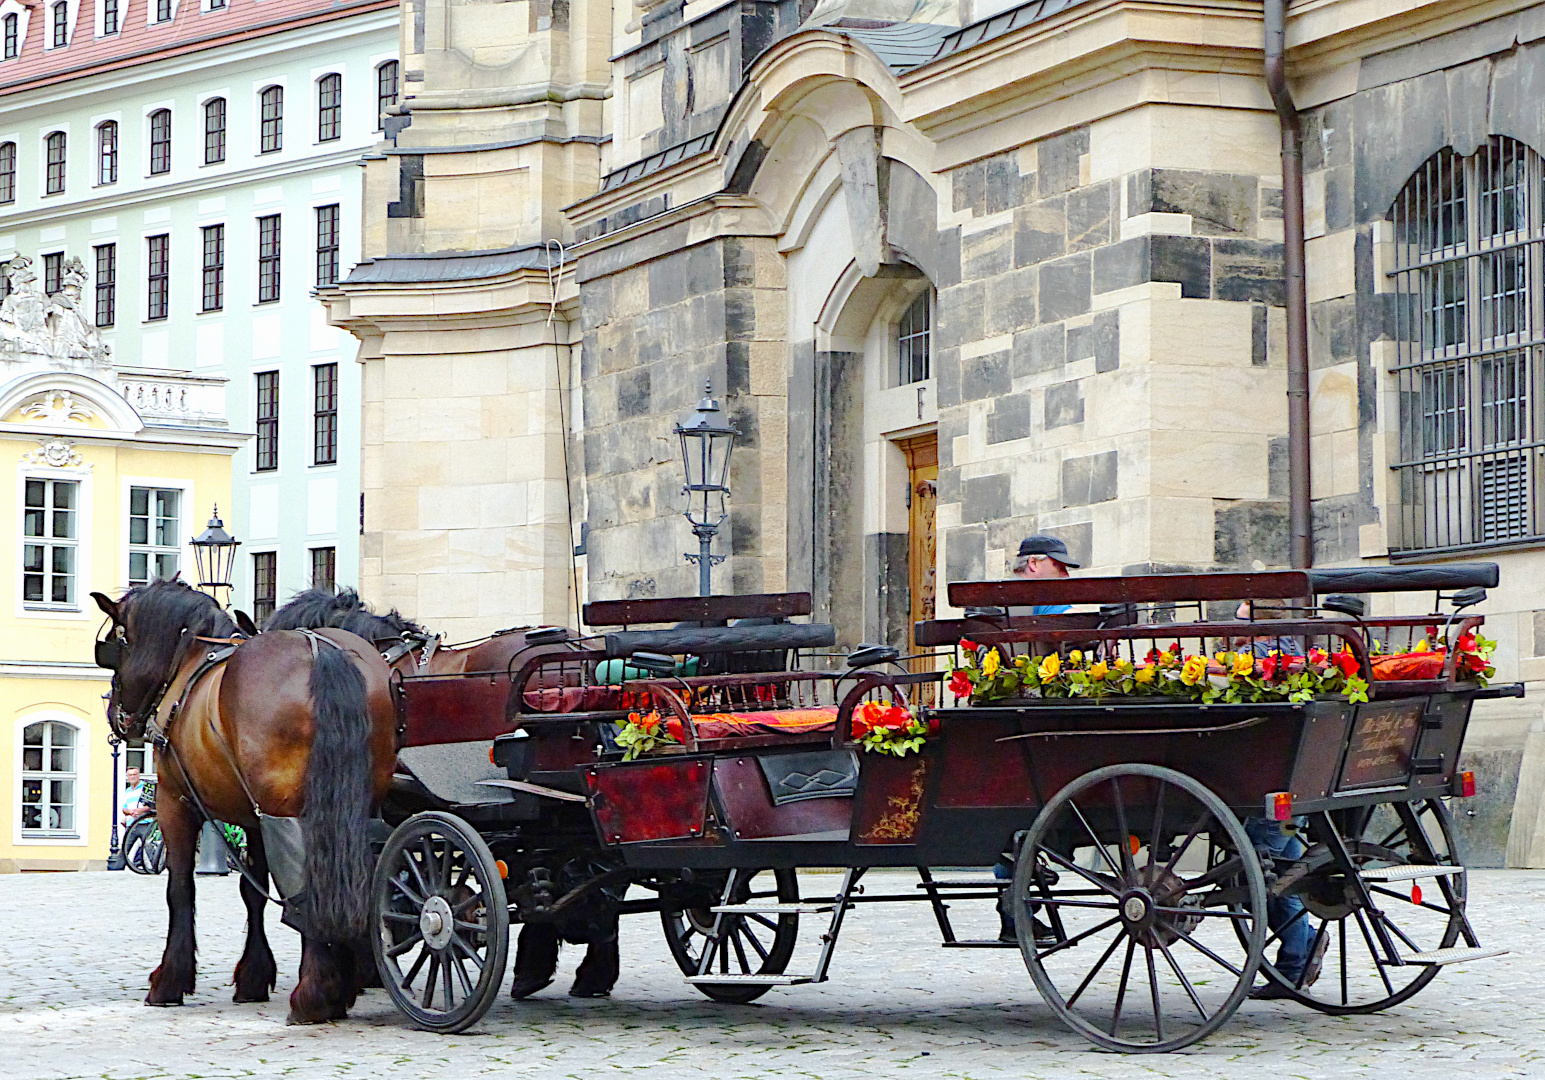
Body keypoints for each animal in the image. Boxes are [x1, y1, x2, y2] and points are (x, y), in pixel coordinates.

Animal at [91, 577, 398, 1025]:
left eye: (118, 643)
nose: (116, 715)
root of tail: (322, 650)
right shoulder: (254, 819)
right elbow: (252, 893)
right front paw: (254, 976)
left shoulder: (175, 803)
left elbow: (180, 889)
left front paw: (169, 980)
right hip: (349, 808)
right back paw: (337, 985)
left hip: (284, 811)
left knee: (308, 885)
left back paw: (314, 995)